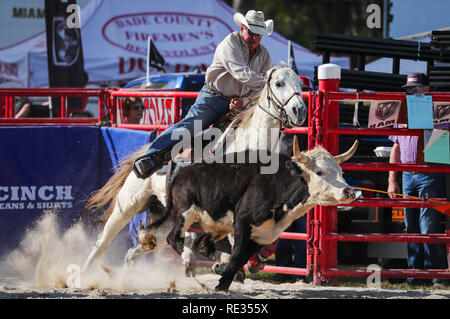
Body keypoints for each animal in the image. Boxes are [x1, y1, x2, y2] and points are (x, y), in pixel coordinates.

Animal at [82, 64, 308, 272]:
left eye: (300, 85)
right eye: (279, 83)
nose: (300, 111)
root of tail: (144, 154)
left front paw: (253, 259)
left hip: (168, 215)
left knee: (136, 251)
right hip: (127, 207)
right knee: (101, 243)